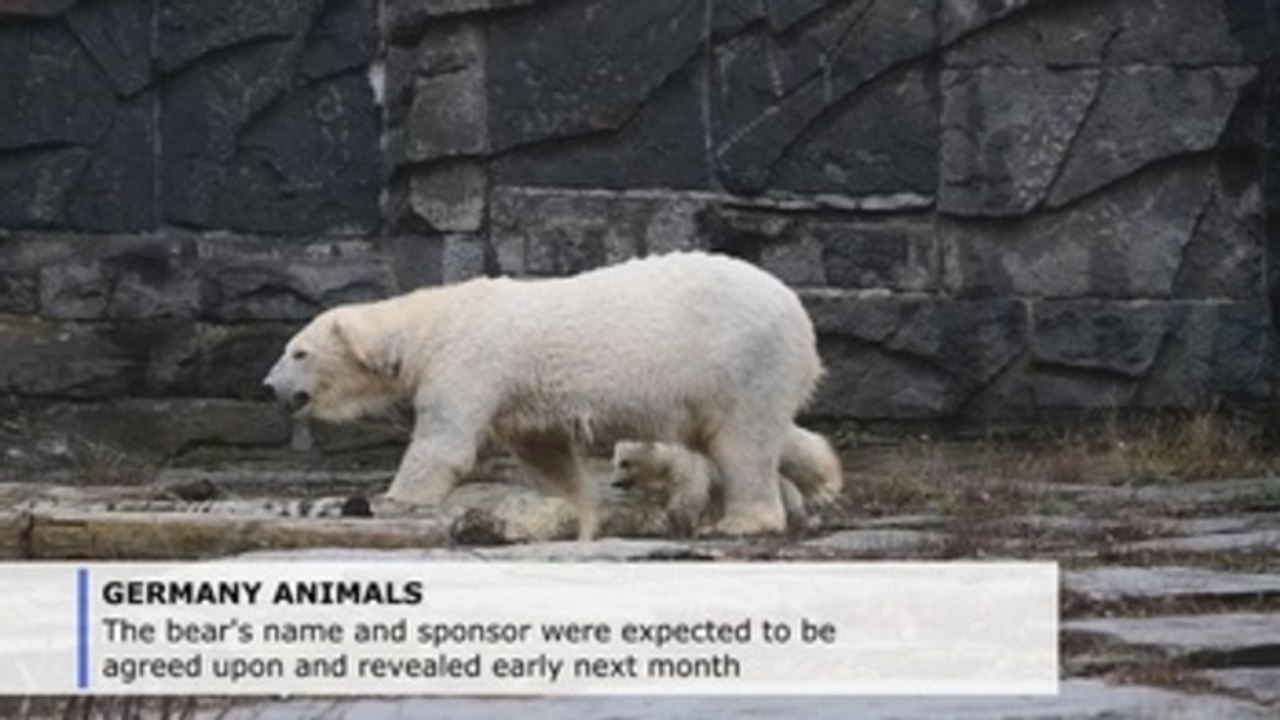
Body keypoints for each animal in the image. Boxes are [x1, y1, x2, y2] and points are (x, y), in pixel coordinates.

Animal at [610, 439, 820, 536]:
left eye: (625, 462)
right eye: (615, 461)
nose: (615, 483)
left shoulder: (690, 464)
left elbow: (689, 493)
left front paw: (681, 525)